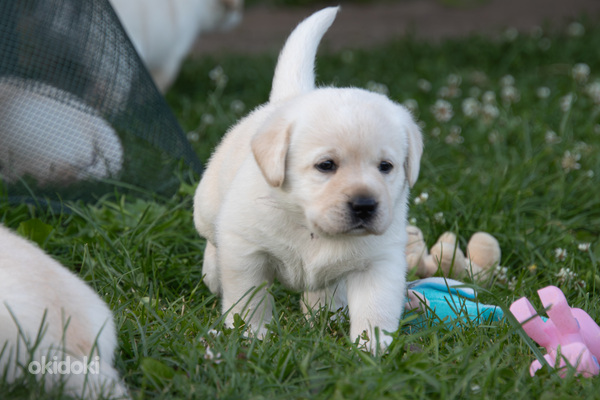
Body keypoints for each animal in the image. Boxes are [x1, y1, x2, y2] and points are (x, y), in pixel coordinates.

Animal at [193, 7, 422, 354]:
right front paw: (253, 335)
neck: (309, 225)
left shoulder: (378, 261)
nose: (365, 205)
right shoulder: (247, 251)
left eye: (386, 166)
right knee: (211, 237)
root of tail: (290, 98)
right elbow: (250, 299)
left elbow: (375, 307)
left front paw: (372, 348)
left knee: (324, 292)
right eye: (326, 165)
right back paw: (212, 272)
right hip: (207, 205)